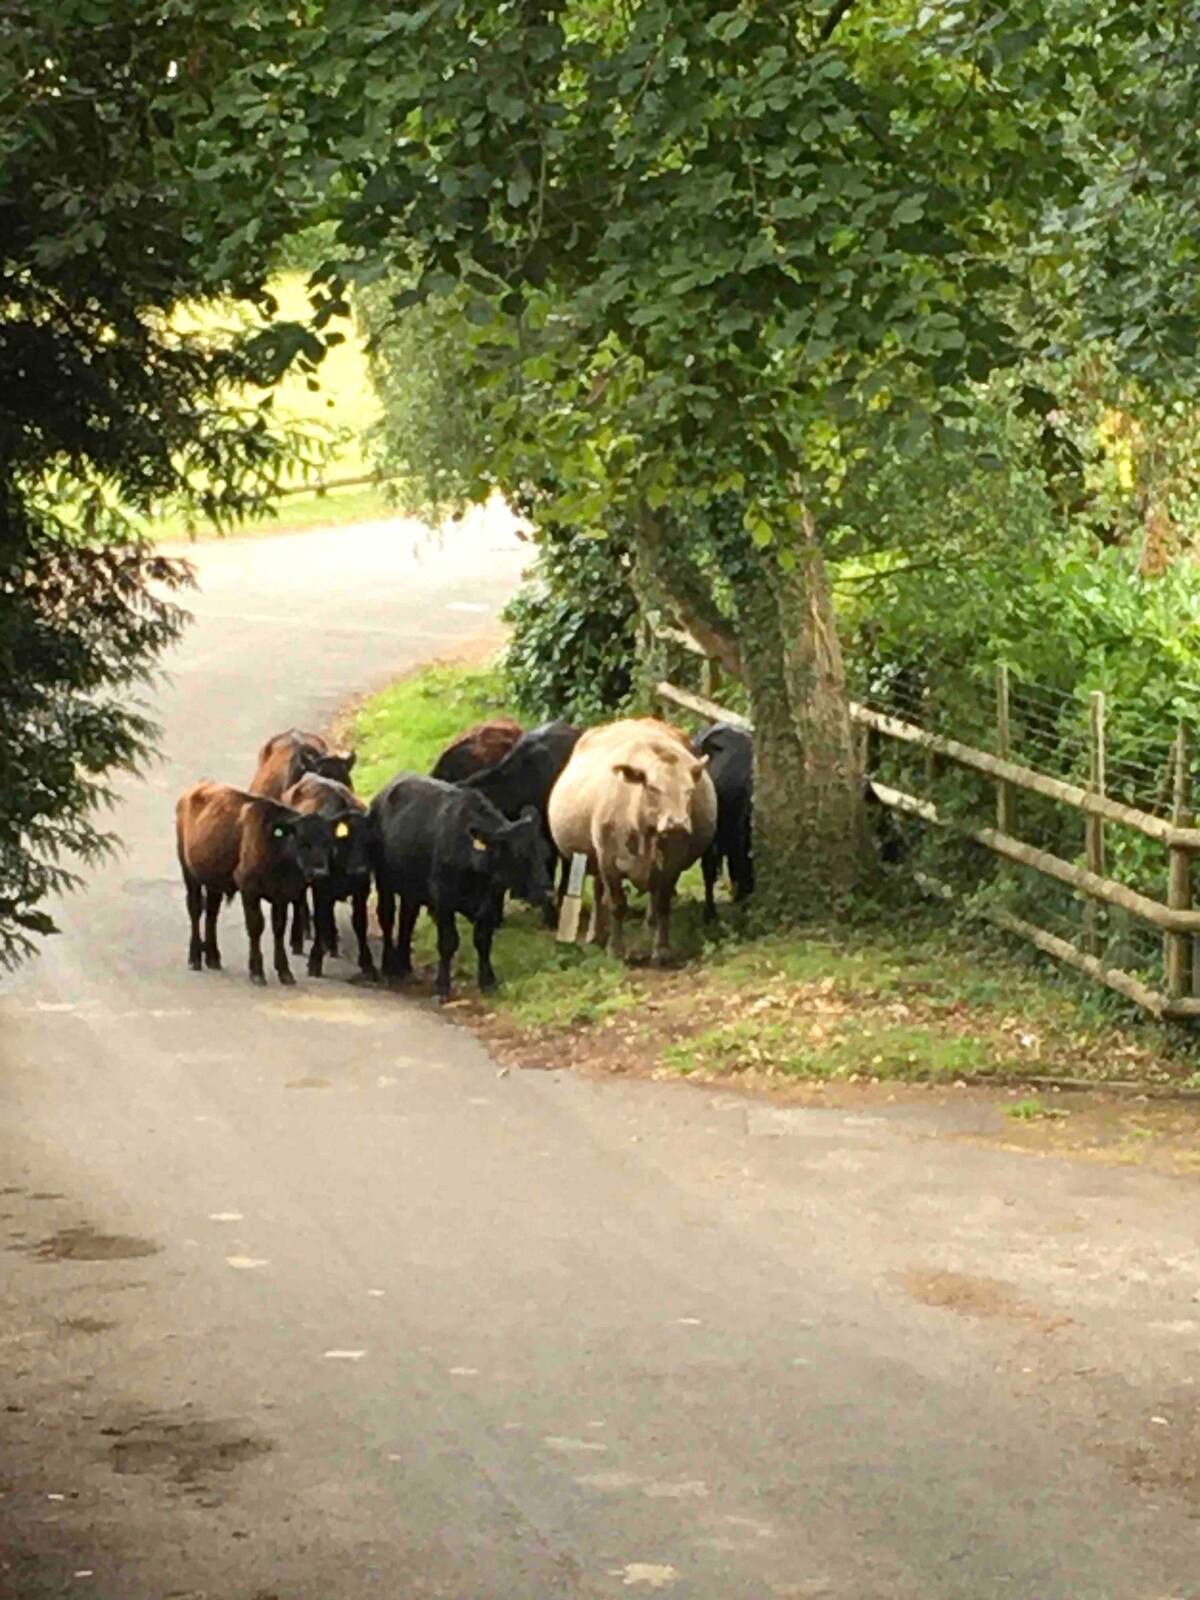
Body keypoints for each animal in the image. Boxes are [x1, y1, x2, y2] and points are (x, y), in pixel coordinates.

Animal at [175, 780, 334, 979]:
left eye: (327, 843)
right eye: (304, 843)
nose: (320, 872)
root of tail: (197, 787)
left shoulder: (282, 894)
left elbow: (279, 928)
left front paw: (284, 971)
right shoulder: (249, 888)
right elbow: (256, 926)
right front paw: (257, 971)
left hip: (214, 882)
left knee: (212, 913)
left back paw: (212, 957)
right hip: (189, 874)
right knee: (195, 910)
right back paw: (195, 958)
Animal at [371, 774, 553, 998]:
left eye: (545, 853)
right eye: (520, 854)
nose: (548, 891)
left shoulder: (490, 900)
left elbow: (483, 940)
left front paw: (488, 982)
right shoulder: (442, 898)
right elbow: (448, 941)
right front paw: (442, 985)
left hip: (411, 889)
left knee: (407, 919)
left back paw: (405, 966)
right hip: (384, 882)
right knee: (387, 917)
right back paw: (390, 968)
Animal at [544, 723, 713, 960]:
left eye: (689, 790)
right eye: (652, 788)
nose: (677, 824)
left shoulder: (672, 863)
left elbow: (662, 905)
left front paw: (661, 949)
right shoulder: (608, 860)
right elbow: (616, 904)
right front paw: (615, 949)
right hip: (593, 857)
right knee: (599, 892)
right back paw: (596, 934)